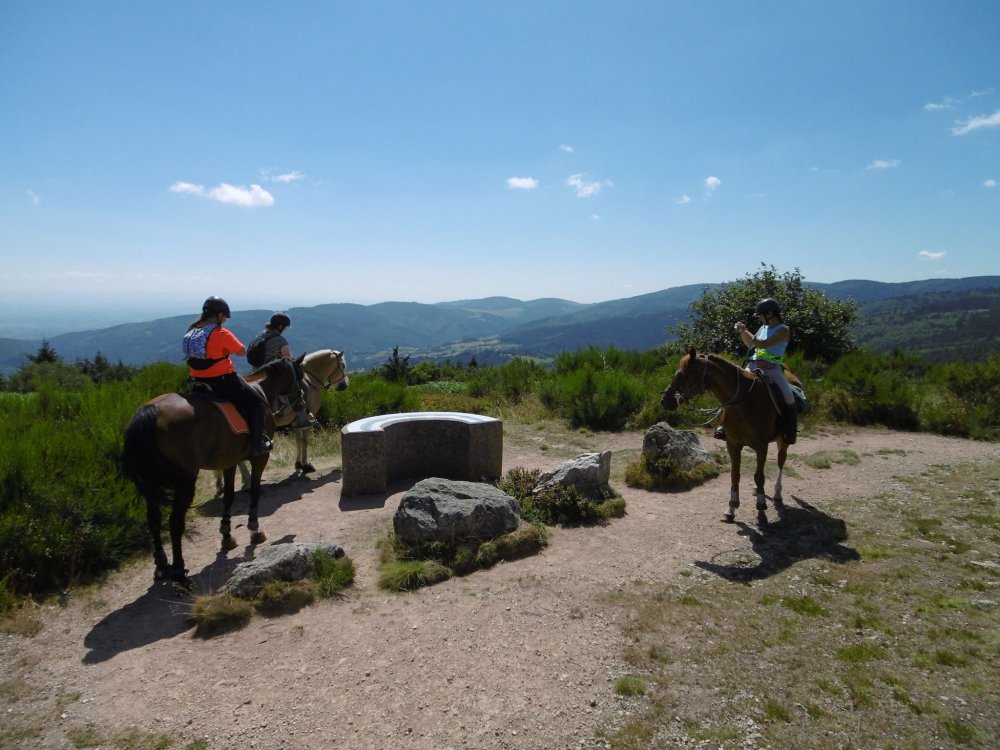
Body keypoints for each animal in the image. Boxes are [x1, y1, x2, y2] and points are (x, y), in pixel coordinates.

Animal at [122, 357, 303, 587]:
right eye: (299, 374)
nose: (301, 403)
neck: (260, 388)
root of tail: (148, 412)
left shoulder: (229, 461)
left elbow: (228, 497)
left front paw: (227, 536)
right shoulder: (260, 457)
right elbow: (254, 490)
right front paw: (254, 528)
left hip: (149, 483)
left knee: (153, 519)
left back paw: (161, 565)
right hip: (185, 481)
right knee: (175, 523)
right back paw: (179, 572)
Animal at [213, 349, 350, 492]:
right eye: (343, 365)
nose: (344, 385)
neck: (310, 380)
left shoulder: (296, 420)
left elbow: (298, 441)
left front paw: (298, 464)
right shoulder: (306, 419)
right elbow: (304, 441)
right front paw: (305, 465)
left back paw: (223, 482)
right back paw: (245, 480)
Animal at [661, 346, 799, 523]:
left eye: (681, 374)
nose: (665, 400)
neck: (744, 401)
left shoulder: (761, 446)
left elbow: (759, 476)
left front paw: (761, 510)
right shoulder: (733, 444)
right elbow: (735, 475)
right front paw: (731, 508)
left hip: (783, 440)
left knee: (781, 461)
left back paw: (777, 495)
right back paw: (757, 490)